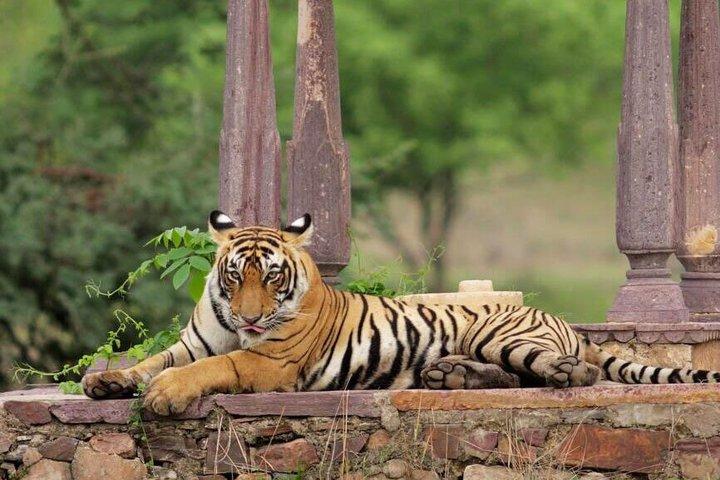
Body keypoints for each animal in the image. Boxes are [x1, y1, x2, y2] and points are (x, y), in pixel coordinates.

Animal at [82, 210, 720, 415]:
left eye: (274, 278)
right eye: (236, 276)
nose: (251, 319)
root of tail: (563, 322)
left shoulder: (268, 361)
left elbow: (212, 368)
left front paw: (164, 395)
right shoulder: (196, 340)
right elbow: (153, 359)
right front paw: (106, 380)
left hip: (500, 331)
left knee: (558, 370)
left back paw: (565, 371)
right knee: (513, 377)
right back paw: (450, 376)